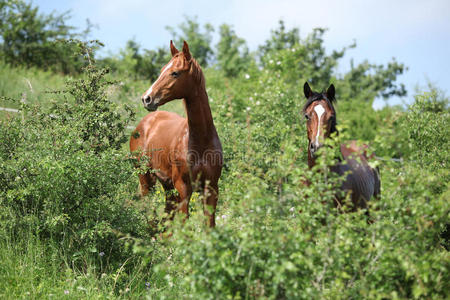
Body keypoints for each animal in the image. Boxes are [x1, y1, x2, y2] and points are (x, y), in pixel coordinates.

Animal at [129, 40, 222, 227]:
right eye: (162, 70)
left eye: (175, 73)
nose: (147, 99)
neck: (201, 140)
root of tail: (143, 124)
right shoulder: (183, 187)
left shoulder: (211, 188)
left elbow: (209, 226)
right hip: (146, 179)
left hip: (167, 186)